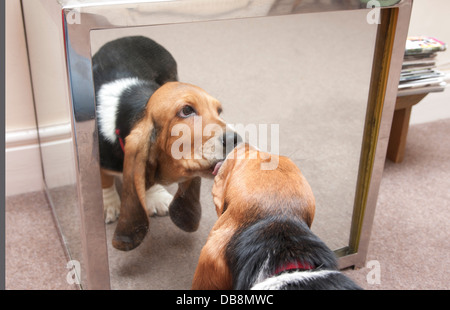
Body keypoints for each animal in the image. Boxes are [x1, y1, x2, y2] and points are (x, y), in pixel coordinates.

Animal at [92, 36, 239, 251]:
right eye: (186, 110)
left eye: (219, 111)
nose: (236, 140)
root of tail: (130, 37)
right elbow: (104, 179)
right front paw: (109, 204)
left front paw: (156, 196)